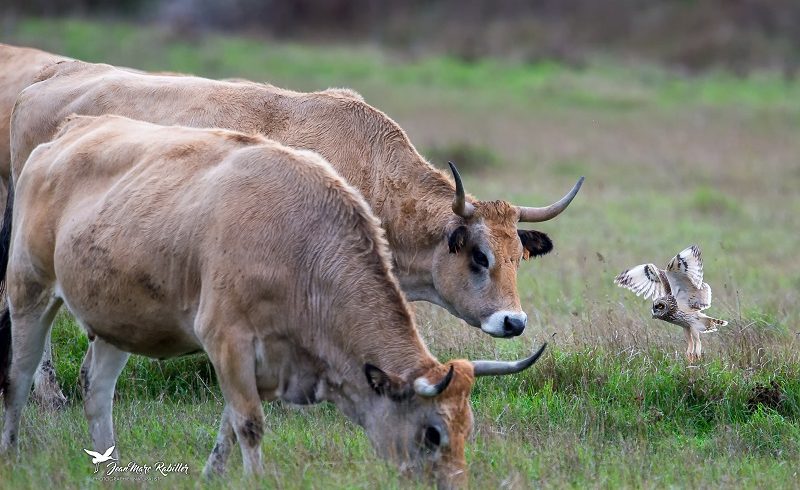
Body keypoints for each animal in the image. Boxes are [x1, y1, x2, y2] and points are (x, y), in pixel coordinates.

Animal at [0, 115, 546, 488]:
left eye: (467, 429)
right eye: (433, 433)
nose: (454, 484)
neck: (300, 245)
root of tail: (68, 131)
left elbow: (228, 427)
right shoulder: (227, 341)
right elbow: (249, 425)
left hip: (117, 319)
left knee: (97, 390)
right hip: (30, 291)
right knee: (20, 377)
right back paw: (11, 452)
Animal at [1, 49, 582, 407]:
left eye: (518, 257)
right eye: (479, 256)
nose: (514, 321)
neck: (369, 169)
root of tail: (47, 82)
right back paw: (45, 396)